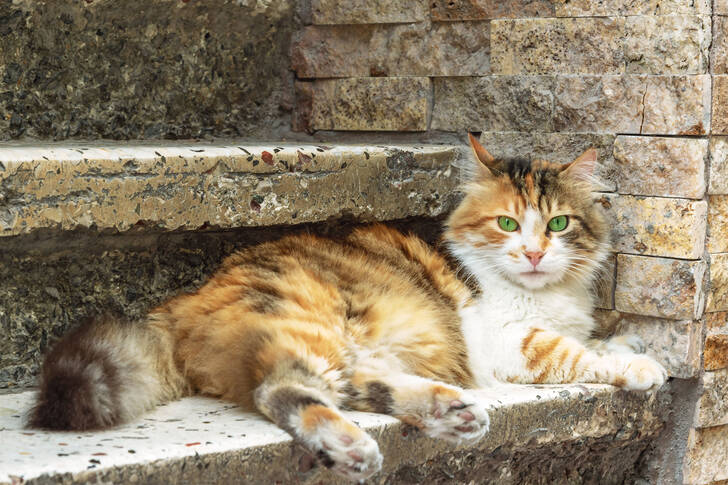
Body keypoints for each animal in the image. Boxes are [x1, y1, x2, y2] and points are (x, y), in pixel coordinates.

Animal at [28, 134, 664, 482]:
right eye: (508, 224)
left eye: (557, 225)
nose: (533, 253)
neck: (541, 293)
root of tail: (184, 300)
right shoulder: (501, 338)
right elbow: (568, 352)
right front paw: (642, 366)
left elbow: (592, 338)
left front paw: (626, 340)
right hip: (307, 325)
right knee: (284, 390)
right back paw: (350, 445)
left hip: (354, 349)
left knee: (356, 386)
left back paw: (448, 412)